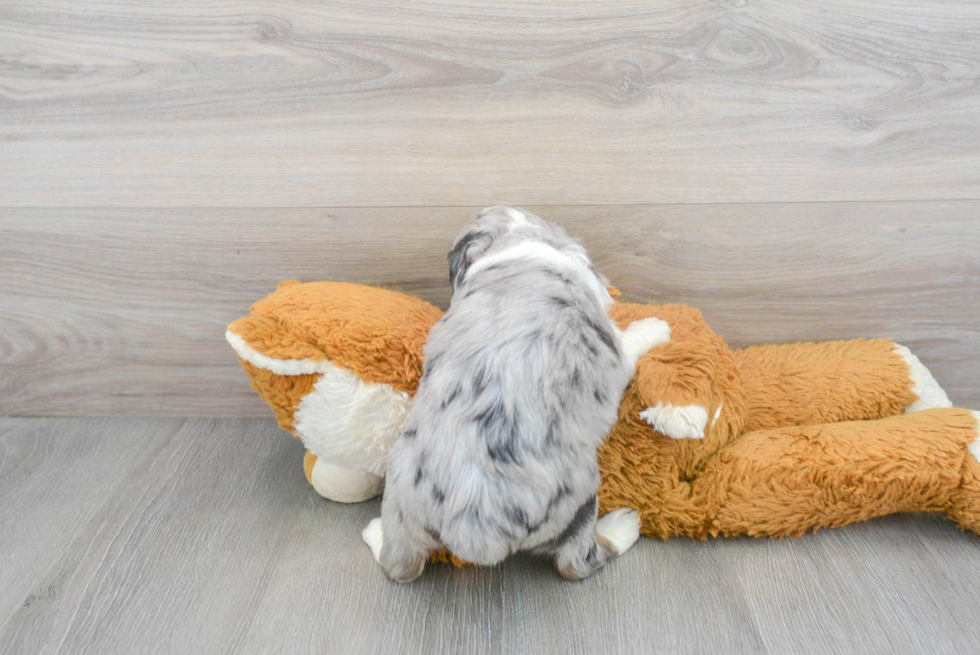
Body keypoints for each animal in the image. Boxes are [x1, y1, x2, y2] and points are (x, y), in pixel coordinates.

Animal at [364, 208, 668, 580]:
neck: (519, 239)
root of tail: (474, 521)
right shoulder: (615, 351)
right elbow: (631, 341)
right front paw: (656, 327)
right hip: (579, 501)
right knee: (577, 562)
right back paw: (623, 525)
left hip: (400, 495)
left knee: (398, 563)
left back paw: (374, 531)